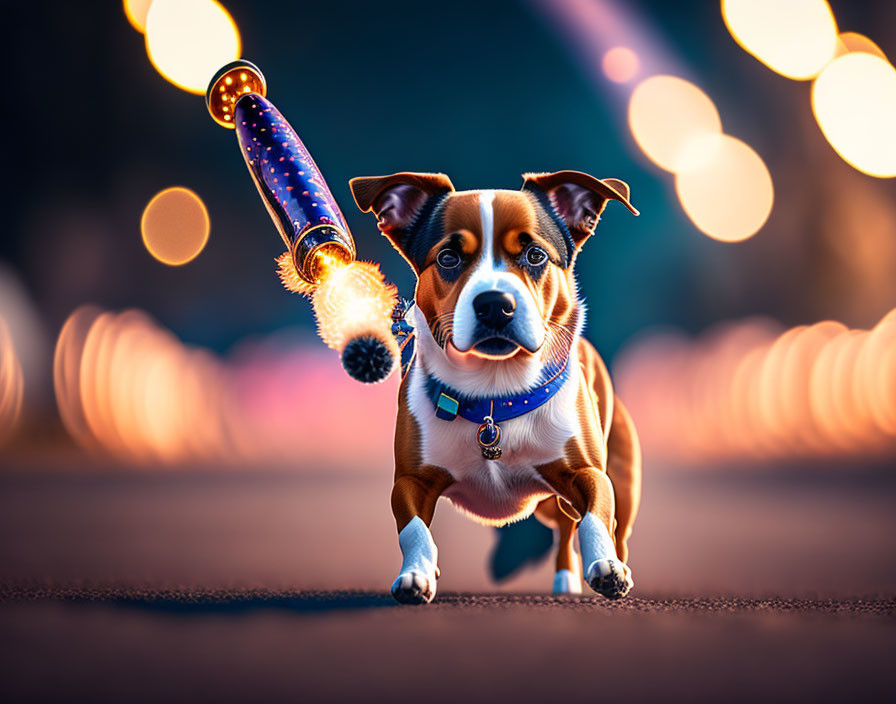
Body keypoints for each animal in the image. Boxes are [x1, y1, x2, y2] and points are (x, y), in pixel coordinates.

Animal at [350, 170, 644, 604]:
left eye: (535, 255)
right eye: (448, 258)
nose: (494, 303)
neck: (494, 397)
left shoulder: (586, 472)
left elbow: (595, 513)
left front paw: (606, 566)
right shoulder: (410, 480)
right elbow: (414, 530)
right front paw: (416, 574)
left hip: (621, 478)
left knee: (600, 528)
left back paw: (594, 572)